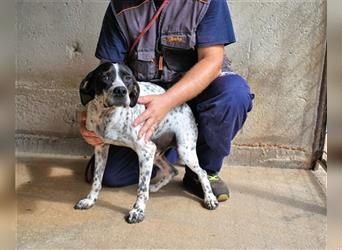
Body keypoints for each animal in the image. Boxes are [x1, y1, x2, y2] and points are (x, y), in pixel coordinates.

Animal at [74, 62, 219, 223]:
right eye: (104, 76)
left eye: (128, 78)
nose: (121, 90)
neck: (108, 116)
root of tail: (186, 106)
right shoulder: (101, 147)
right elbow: (96, 180)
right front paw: (90, 200)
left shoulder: (145, 150)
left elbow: (142, 188)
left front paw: (138, 211)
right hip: (156, 154)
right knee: (172, 170)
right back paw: (155, 187)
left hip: (184, 151)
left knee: (203, 172)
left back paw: (210, 198)